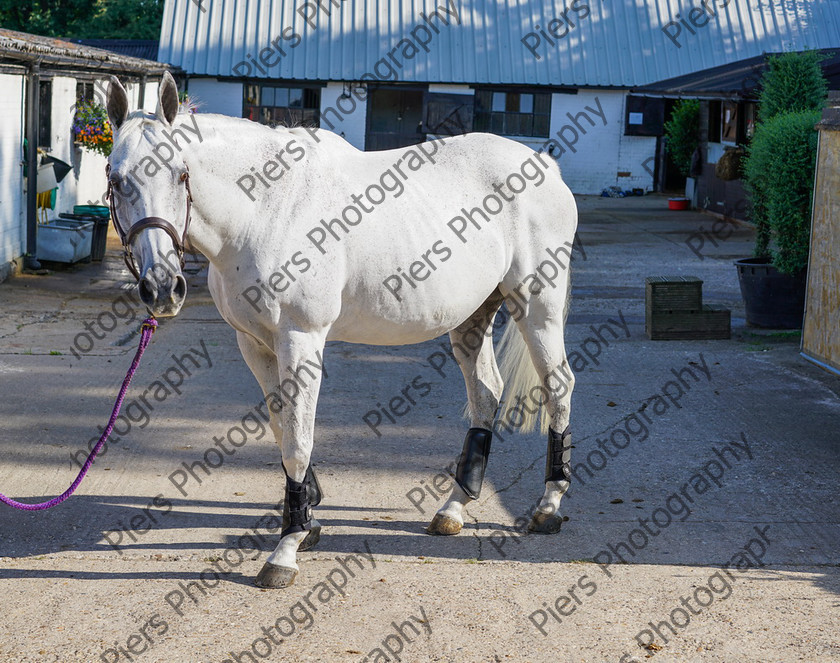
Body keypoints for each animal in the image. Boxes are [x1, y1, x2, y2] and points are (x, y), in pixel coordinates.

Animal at [103, 72, 576, 588]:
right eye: (115, 179)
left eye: (181, 174)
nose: (162, 287)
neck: (265, 211)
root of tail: (547, 167)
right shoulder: (255, 345)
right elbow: (281, 429)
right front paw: (308, 519)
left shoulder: (301, 339)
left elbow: (297, 440)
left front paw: (286, 549)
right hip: (473, 315)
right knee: (487, 394)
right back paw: (454, 508)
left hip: (538, 306)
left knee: (558, 385)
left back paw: (548, 506)